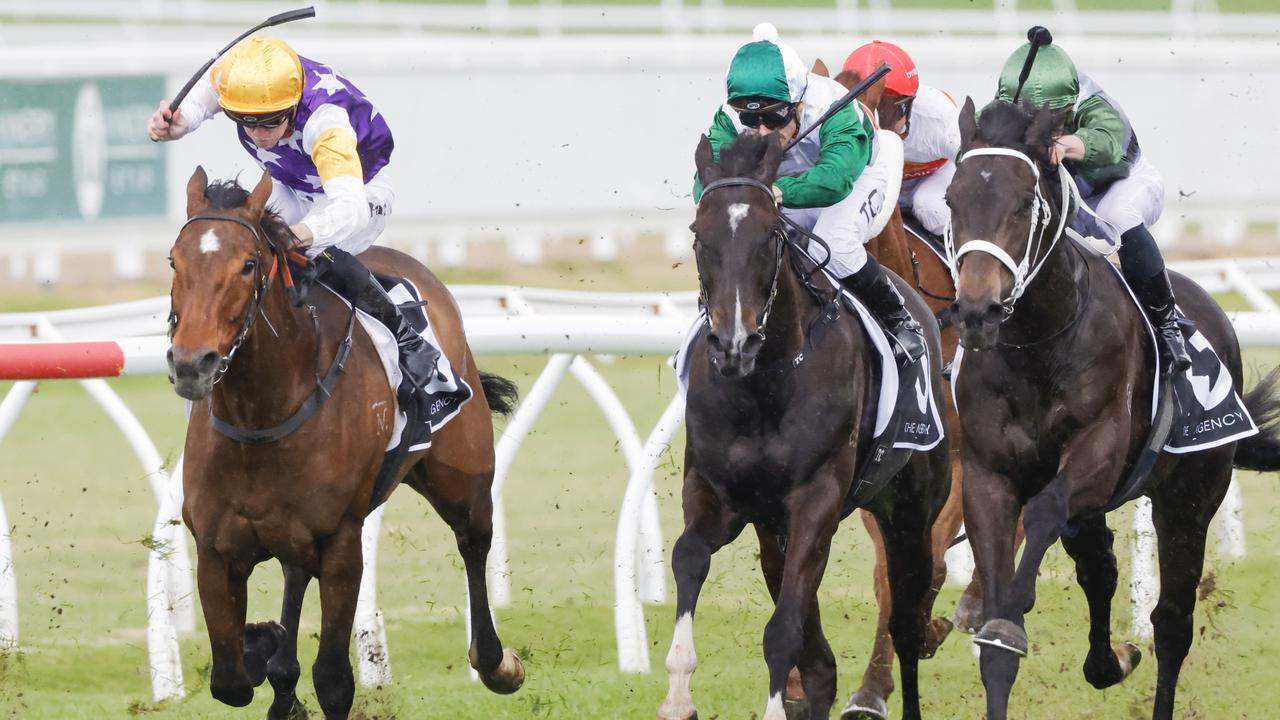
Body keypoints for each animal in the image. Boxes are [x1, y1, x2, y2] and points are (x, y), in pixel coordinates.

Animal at [166, 166, 524, 717]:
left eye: (248, 264)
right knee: (295, 577)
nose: (191, 364)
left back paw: (495, 662)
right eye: (173, 260)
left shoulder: (341, 544)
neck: (262, 416)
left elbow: (333, 679)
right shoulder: (215, 549)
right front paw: (269, 654)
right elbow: (230, 681)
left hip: (462, 476)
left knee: (473, 541)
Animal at [660, 131, 952, 717]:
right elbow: (687, 558)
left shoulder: (816, 502)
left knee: (906, 624)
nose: (733, 344)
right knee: (821, 661)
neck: (764, 383)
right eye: (699, 236)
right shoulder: (717, 494)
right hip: (776, 530)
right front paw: (678, 695)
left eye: (772, 235)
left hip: (910, 511)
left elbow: (783, 630)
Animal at [947, 99, 1280, 717]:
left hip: (1190, 497)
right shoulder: (987, 474)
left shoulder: (1097, 453)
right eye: (953, 199)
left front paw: (1012, 612)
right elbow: (998, 642)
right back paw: (1110, 661)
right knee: (1099, 569)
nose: (978, 312)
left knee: (1172, 623)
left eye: (1024, 201)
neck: (1039, 342)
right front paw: (998, 624)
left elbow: (1044, 513)